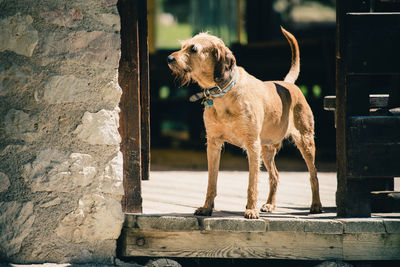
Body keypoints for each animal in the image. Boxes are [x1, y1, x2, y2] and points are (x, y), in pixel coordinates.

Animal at [167, 27, 324, 220]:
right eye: (183, 46)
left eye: (194, 49)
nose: (169, 58)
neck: (223, 92)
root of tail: (288, 84)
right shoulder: (213, 144)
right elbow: (211, 182)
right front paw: (206, 208)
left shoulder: (252, 145)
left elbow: (252, 183)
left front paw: (251, 210)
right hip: (267, 149)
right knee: (275, 176)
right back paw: (270, 204)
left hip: (305, 142)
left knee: (313, 174)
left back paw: (316, 205)